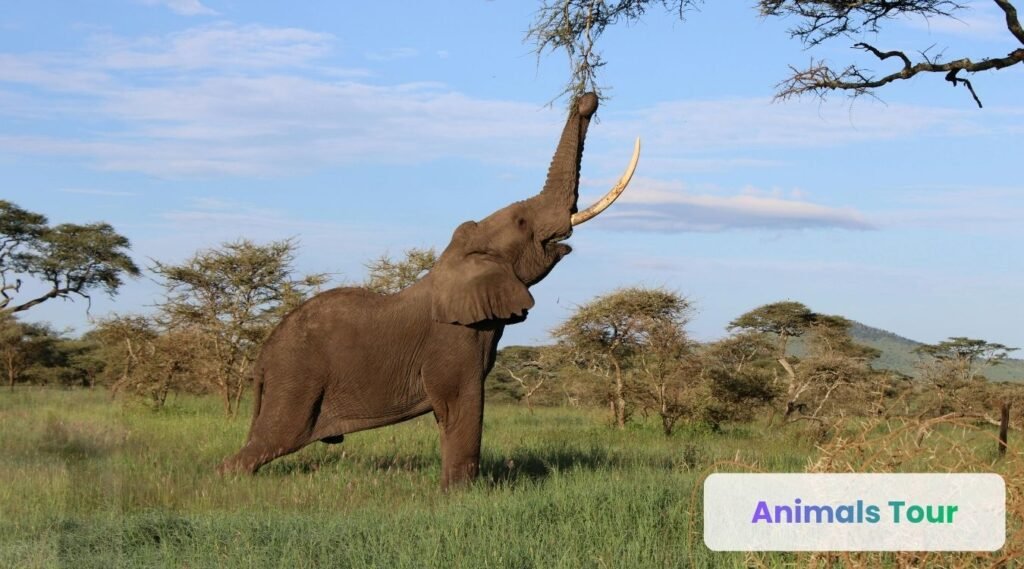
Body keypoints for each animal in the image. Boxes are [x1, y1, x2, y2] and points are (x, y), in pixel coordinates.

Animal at [218, 92, 639, 489]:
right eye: (521, 222)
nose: (587, 100)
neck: (456, 260)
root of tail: (261, 359)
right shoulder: (452, 339)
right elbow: (460, 403)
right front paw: (460, 495)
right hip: (297, 378)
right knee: (275, 437)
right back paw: (230, 480)